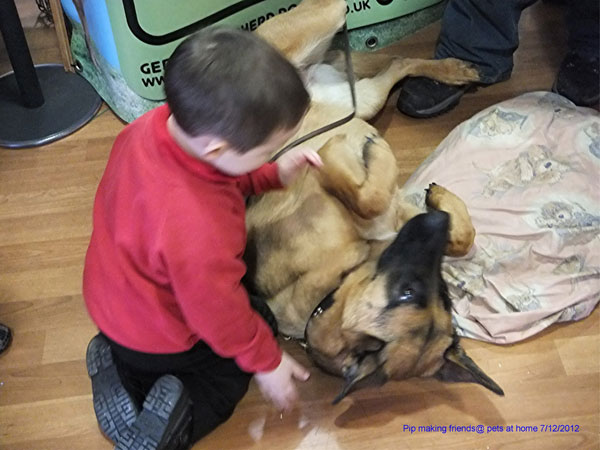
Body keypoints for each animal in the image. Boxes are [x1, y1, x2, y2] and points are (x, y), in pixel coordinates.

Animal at [244, 0, 502, 400]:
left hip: (364, 97)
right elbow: (369, 195)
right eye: (408, 292)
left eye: (443, 293)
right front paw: (354, 151)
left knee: (397, 61)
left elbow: (460, 237)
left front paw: (441, 199)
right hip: (333, 42)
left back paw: (451, 70)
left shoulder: (402, 215)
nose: (436, 222)